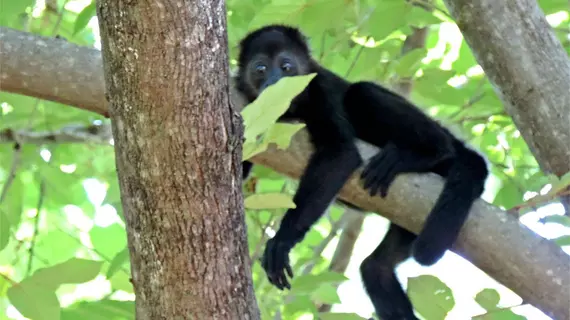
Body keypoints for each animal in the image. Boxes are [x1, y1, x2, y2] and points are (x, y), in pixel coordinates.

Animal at [234, 25, 484, 320]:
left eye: (286, 66)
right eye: (260, 68)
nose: (275, 83)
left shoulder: (320, 89)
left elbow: (340, 154)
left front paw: (283, 239)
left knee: (363, 92)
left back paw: (424, 152)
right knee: (375, 269)